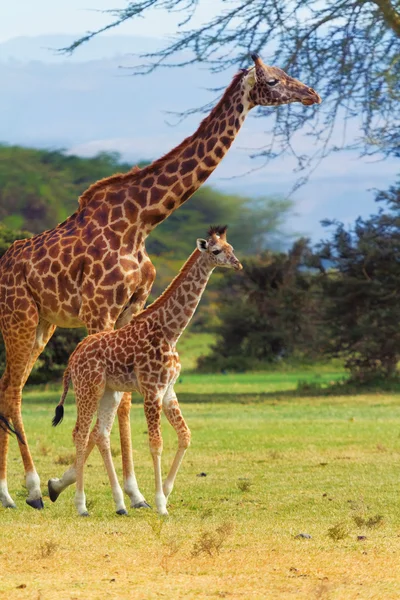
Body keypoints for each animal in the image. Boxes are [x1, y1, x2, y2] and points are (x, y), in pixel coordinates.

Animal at [47, 225, 241, 516]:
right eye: (216, 251)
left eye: (232, 248)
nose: (238, 264)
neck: (170, 332)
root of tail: (72, 358)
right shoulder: (151, 391)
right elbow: (155, 444)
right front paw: (160, 503)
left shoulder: (168, 390)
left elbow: (185, 435)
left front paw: (167, 492)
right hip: (88, 389)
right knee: (80, 433)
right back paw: (81, 505)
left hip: (110, 392)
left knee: (101, 434)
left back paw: (119, 504)